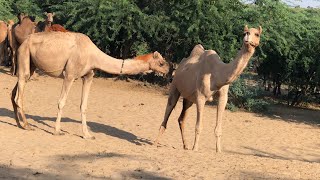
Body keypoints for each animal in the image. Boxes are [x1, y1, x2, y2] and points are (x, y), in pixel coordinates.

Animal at [11, 31, 170, 139]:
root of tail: (24, 41)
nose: (169, 69)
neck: (93, 55)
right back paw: (27, 125)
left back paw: (19, 124)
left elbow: (84, 105)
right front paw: (57, 131)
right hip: (24, 55)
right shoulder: (70, 74)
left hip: (31, 64)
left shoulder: (88, 76)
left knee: (14, 92)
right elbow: (61, 102)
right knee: (20, 92)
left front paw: (87, 135)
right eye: (161, 62)